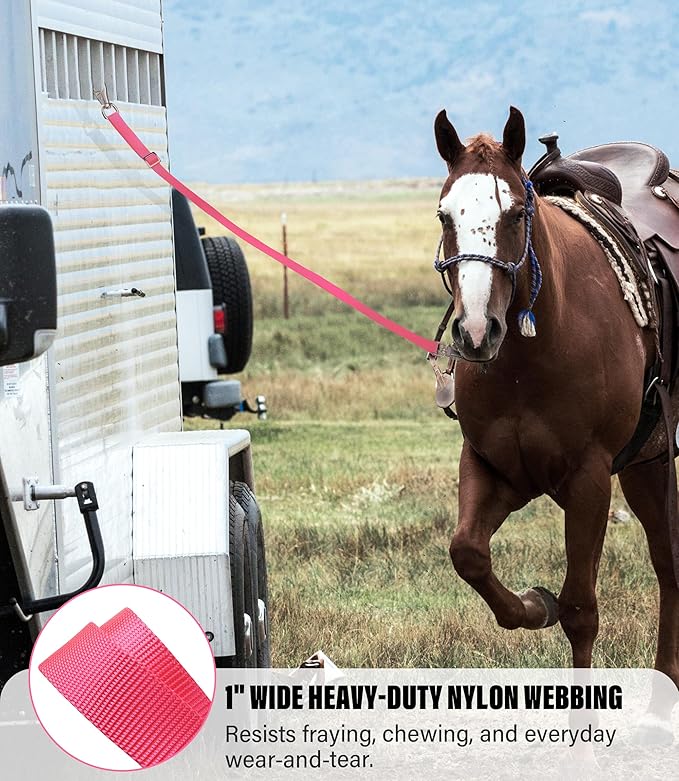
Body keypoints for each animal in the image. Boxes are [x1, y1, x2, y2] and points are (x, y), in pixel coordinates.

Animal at [433, 107, 679, 693]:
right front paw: (532, 603)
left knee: (668, 565)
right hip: (646, 462)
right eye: (445, 216)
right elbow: (468, 553)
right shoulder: (494, 467)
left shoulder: (588, 480)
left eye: (517, 212)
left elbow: (581, 611)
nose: (477, 331)